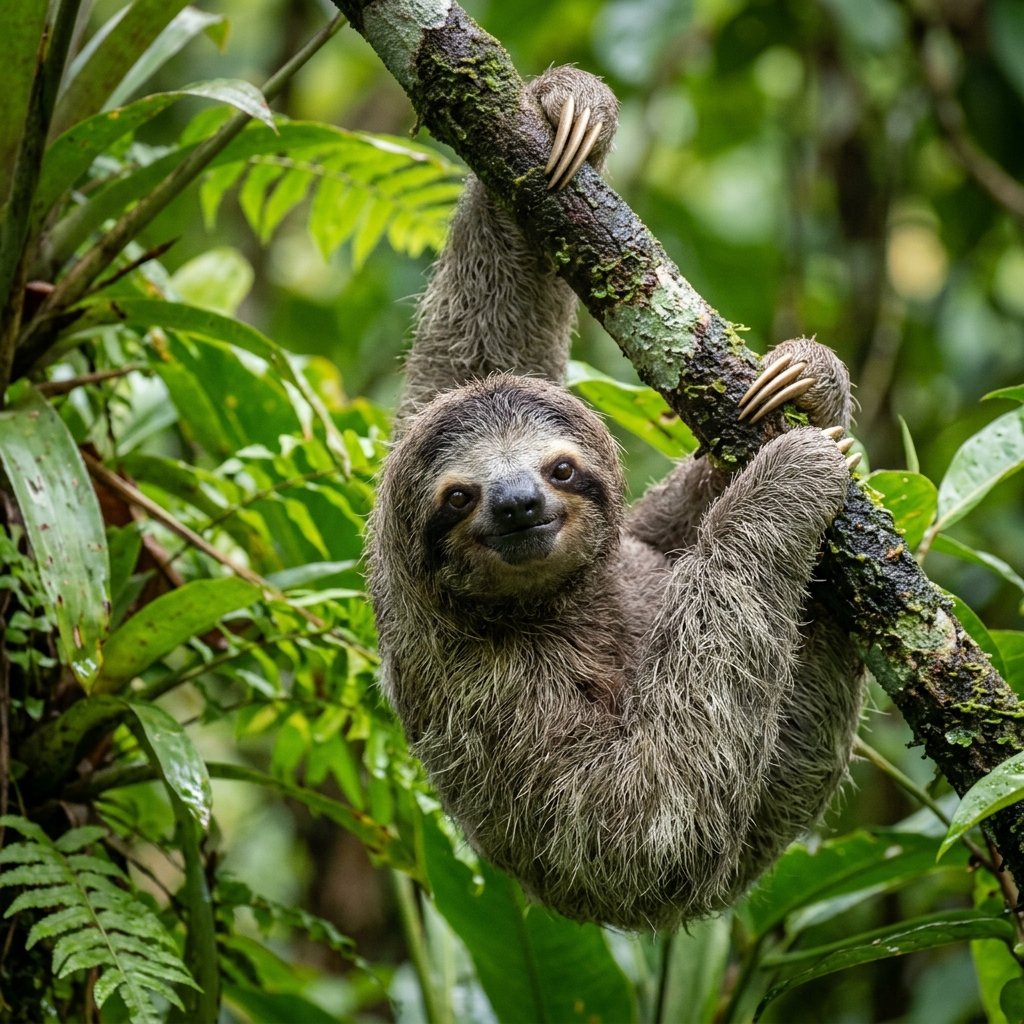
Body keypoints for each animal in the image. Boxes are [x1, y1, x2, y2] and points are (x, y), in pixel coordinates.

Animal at [367, 66, 866, 931]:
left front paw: (563, 107)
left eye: (561, 470)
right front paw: (786, 481)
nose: (517, 502)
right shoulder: (483, 689)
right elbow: (644, 820)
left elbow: (470, 351)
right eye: (458, 498)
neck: (563, 601)